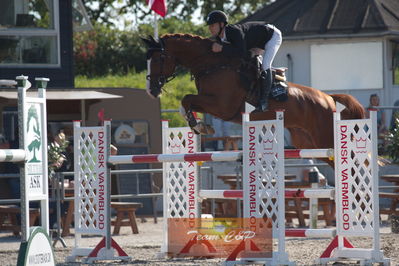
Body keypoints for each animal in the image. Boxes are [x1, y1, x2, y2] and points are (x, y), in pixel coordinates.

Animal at [144, 34, 366, 153]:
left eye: (158, 59)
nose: (151, 90)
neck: (213, 63)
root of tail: (329, 98)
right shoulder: (211, 103)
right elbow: (186, 104)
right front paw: (200, 125)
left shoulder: (222, 107)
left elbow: (186, 99)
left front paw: (199, 125)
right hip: (307, 142)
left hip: (325, 138)